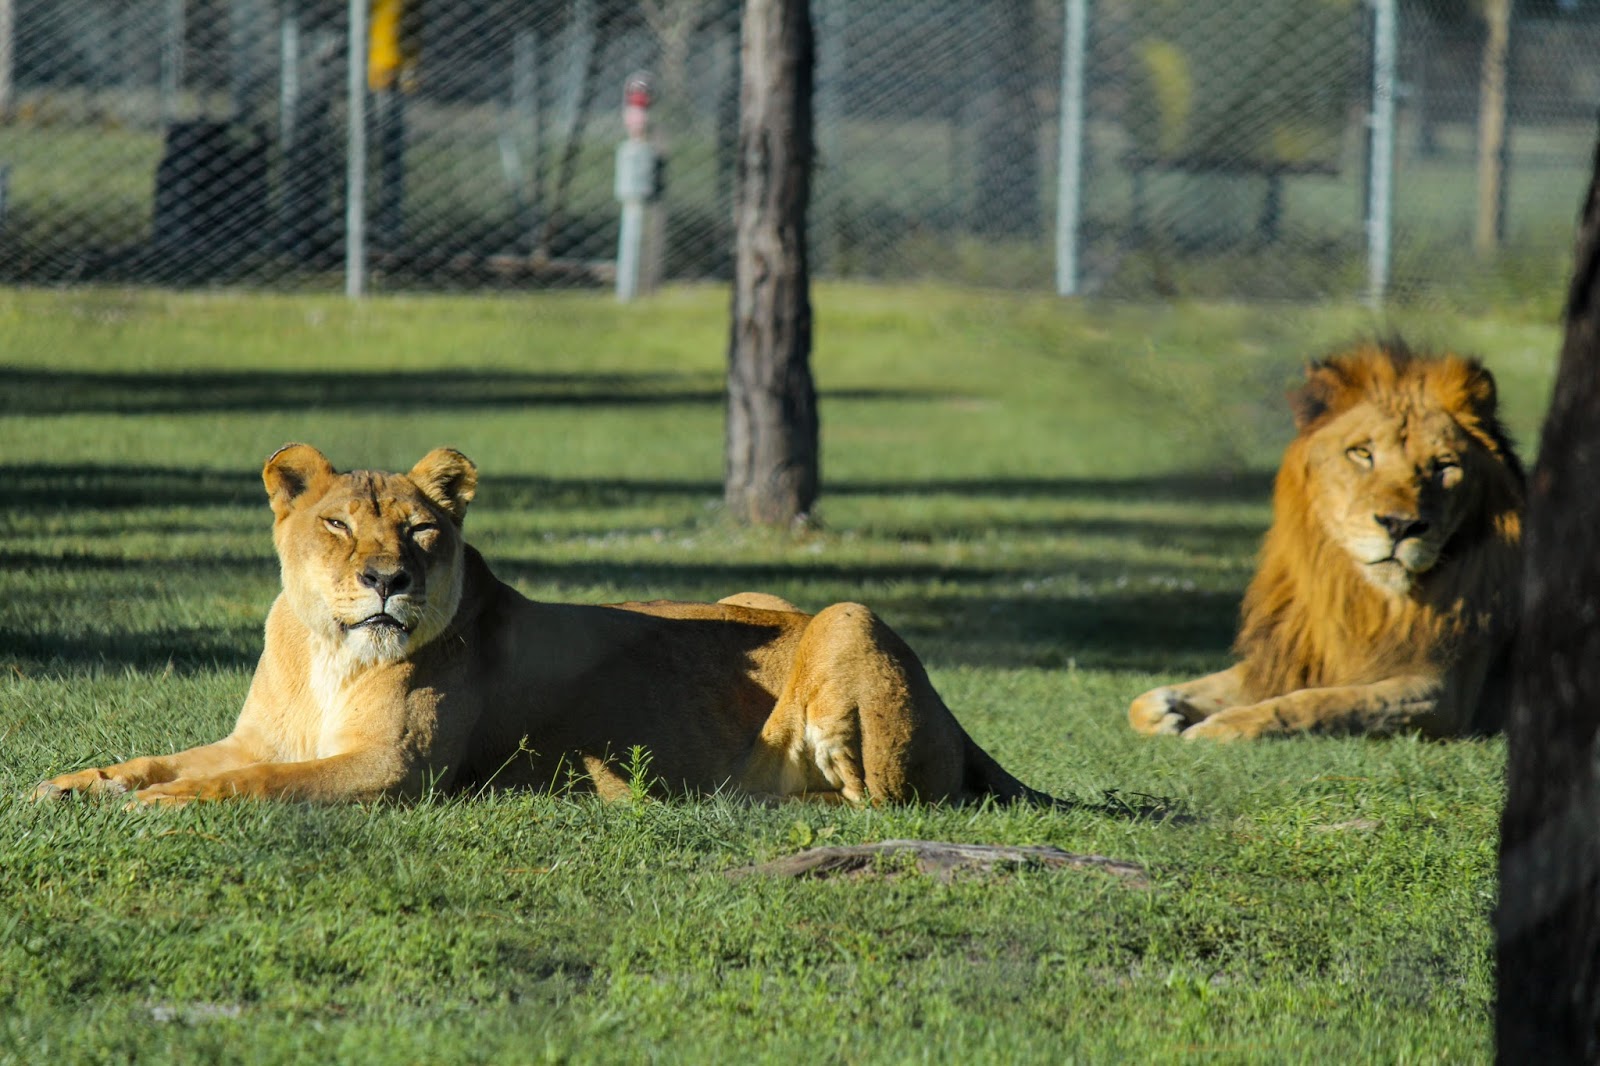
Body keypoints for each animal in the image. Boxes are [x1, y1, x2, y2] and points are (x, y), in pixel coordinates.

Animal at [35, 444, 1057, 806]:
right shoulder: (258, 736)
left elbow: (251, 786)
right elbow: (164, 758)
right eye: (337, 524)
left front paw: (159, 807)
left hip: (849, 613)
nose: (387, 580)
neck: (331, 651)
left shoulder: (395, 770)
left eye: (420, 530)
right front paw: (74, 785)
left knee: (884, 801)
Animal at [1128, 341, 1525, 740]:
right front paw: (1167, 714)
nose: (1399, 526)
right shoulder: (1291, 656)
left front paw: (1227, 726)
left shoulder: (1443, 693)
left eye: (1444, 466)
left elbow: (1323, 701)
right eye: (1362, 453)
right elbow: (1143, 700)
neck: (1359, 594)